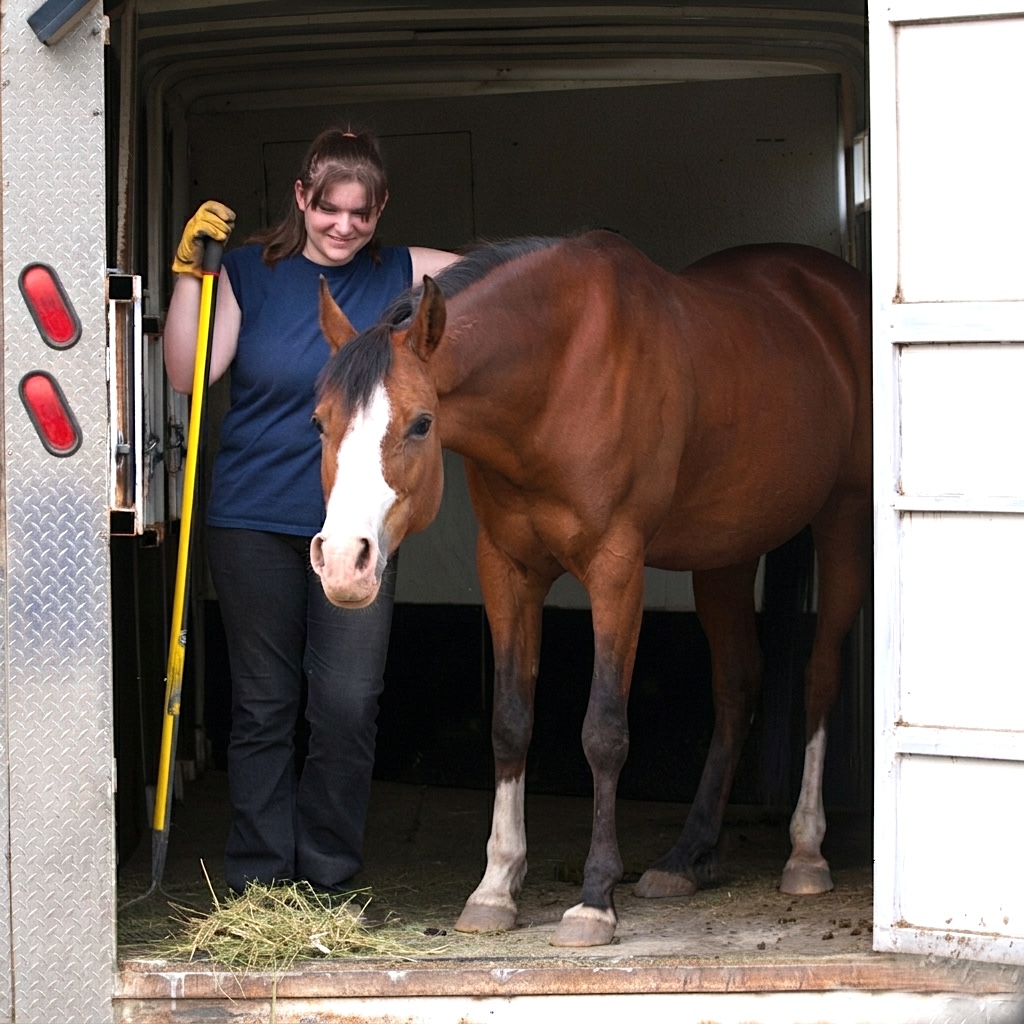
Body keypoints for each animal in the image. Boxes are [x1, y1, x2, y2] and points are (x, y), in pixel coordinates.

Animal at [309, 231, 872, 948]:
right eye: (319, 422)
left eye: (421, 423)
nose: (342, 563)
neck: (555, 376)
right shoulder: (507, 569)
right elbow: (510, 723)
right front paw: (495, 886)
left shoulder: (615, 569)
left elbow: (604, 730)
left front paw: (595, 899)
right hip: (727, 549)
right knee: (737, 684)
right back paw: (686, 858)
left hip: (844, 520)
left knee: (821, 675)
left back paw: (805, 851)